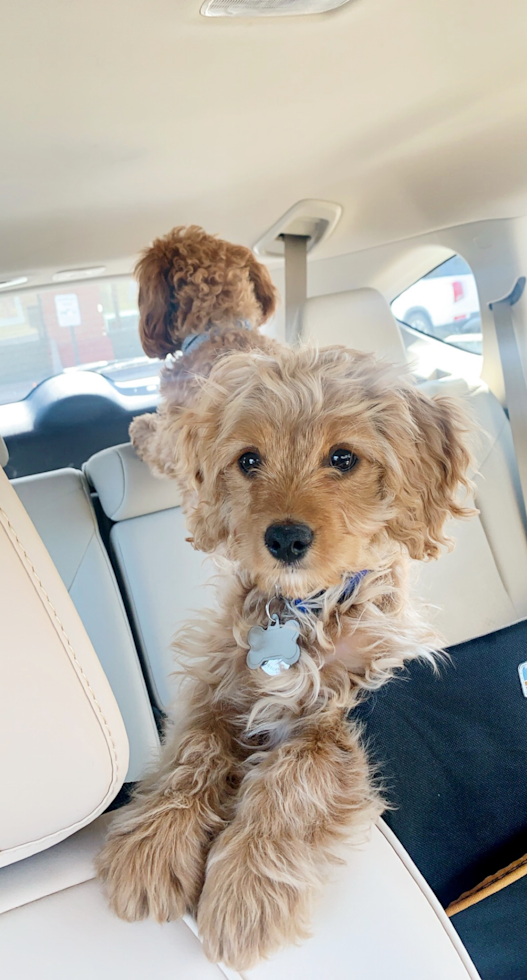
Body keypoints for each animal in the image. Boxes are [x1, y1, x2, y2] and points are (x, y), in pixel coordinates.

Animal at [96, 226, 474, 968]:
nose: (286, 538)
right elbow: (195, 749)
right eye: (248, 460)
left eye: (344, 458)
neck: (304, 608)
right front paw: (152, 845)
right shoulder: (217, 682)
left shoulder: (343, 712)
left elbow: (295, 774)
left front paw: (244, 893)